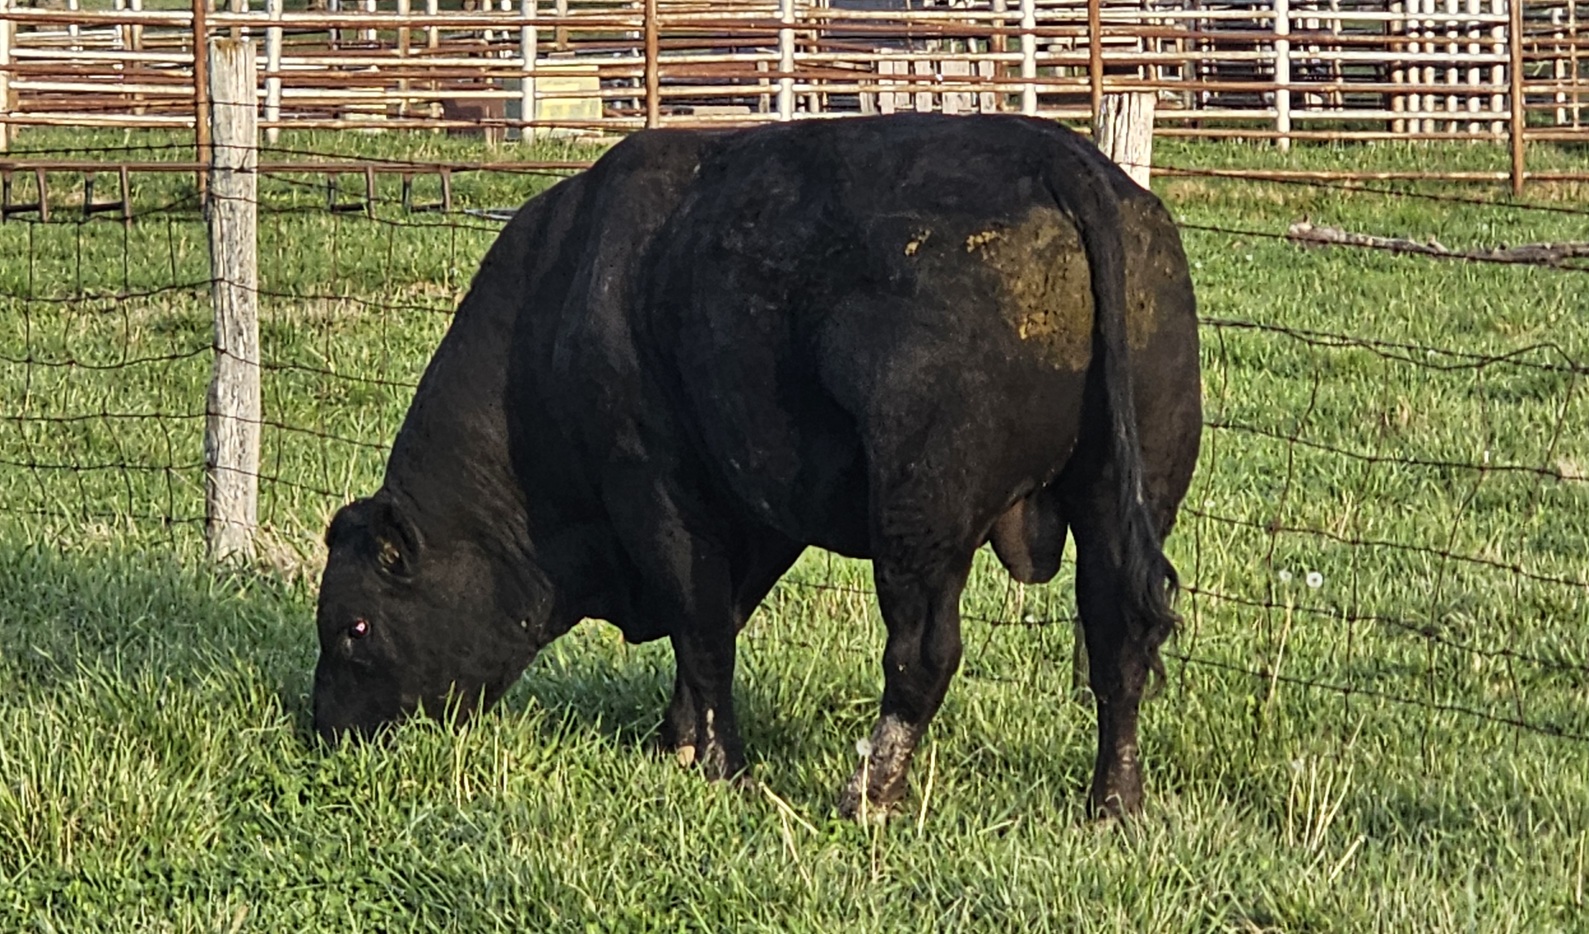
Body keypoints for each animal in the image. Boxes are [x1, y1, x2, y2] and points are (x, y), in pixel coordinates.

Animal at [311, 113, 1202, 819]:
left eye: (354, 626)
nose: (321, 729)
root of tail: (1054, 153)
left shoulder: (658, 493)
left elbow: (703, 626)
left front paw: (720, 766)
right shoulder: (759, 513)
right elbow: (715, 620)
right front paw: (676, 740)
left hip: (921, 513)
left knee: (923, 652)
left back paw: (867, 794)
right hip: (1124, 490)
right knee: (1116, 639)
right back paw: (1112, 805)